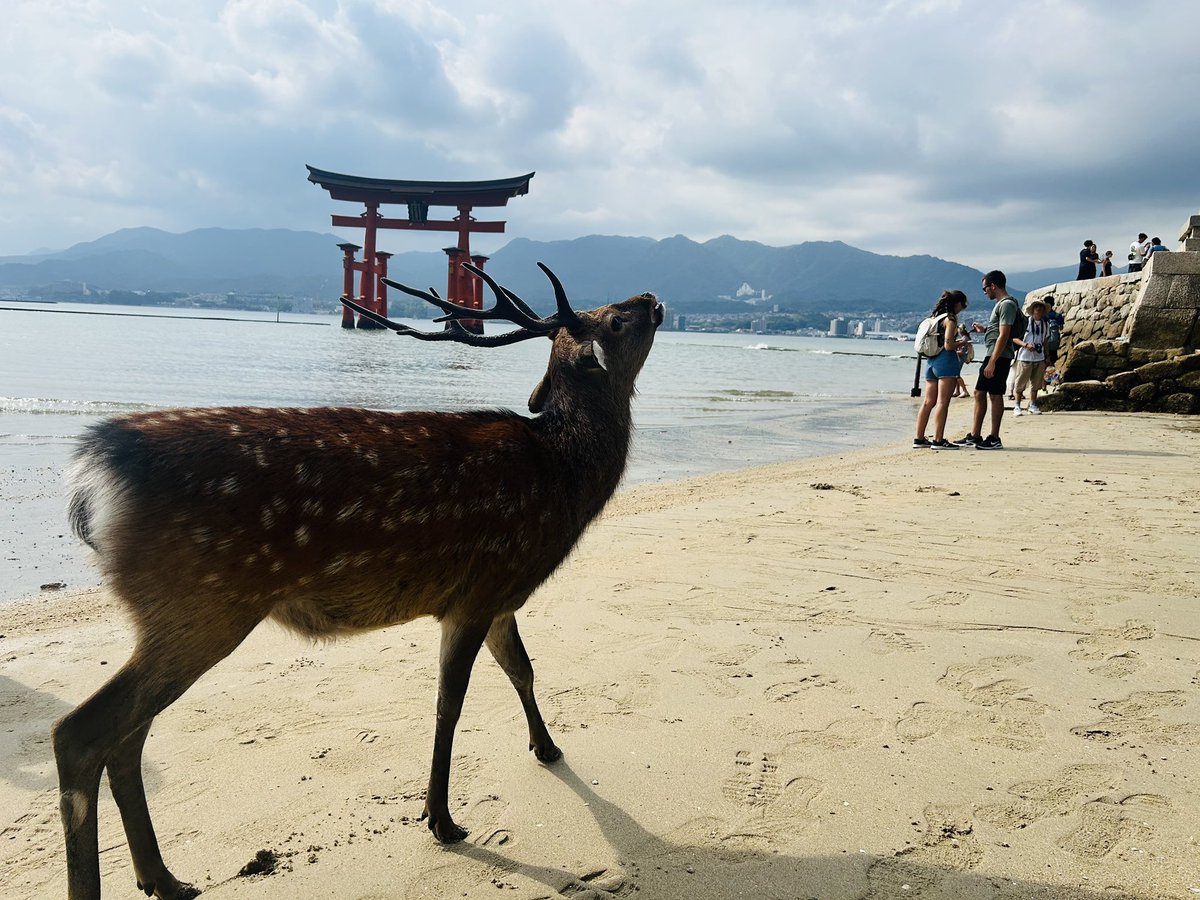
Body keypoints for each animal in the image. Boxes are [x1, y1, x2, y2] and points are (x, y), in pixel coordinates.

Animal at [52, 262, 664, 900]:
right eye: (616, 320)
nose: (650, 297)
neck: (562, 478)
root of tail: (92, 476)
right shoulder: (477, 592)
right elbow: (450, 703)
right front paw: (441, 819)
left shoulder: (499, 598)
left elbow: (522, 669)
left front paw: (546, 748)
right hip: (200, 602)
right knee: (82, 732)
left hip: (175, 615)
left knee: (127, 738)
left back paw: (162, 877)